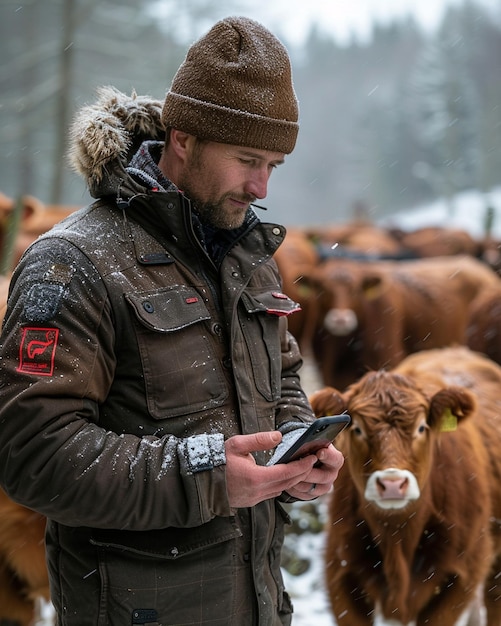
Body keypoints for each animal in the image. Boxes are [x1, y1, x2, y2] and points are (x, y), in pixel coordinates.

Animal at [308, 346, 500, 624]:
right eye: (357, 429)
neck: (397, 539)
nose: (392, 483)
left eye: (421, 427)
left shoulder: (461, 575)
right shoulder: (340, 574)